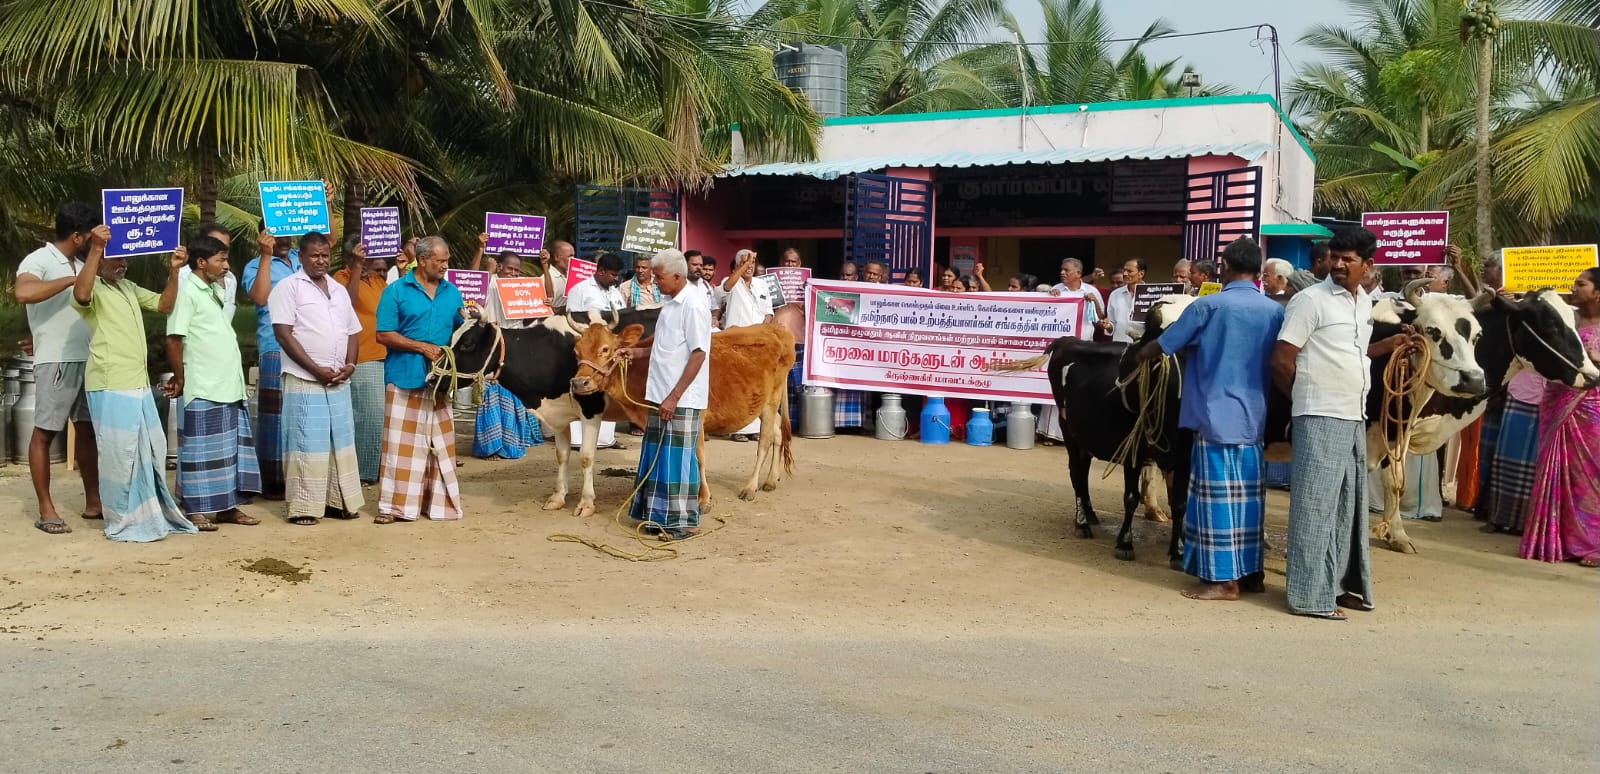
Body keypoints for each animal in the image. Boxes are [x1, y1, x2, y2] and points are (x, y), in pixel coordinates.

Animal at [449, 308, 661, 519]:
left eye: (467, 344)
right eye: (452, 339)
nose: (439, 378)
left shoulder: (591, 410)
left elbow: (586, 457)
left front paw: (586, 502)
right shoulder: (559, 415)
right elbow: (562, 455)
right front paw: (558, 497)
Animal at [568, 322, 797, 505]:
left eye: (605, 349)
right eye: (577, 352)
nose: (579, 383)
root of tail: (776, 328)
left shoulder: (697, 417)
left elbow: (699, 456)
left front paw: (703, 498)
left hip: (771, 401)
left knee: (765, 441)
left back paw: (751, 487)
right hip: (762, 403)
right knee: (778, 433)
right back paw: (771, 479)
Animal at [993, 295, 1197, 565]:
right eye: (1156, 332)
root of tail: (1066, 340)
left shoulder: (1183, 458)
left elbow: (1180, 504)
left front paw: (1178, 552)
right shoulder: (1132, 451)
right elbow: (1131, 497)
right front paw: (1125, 543)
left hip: (1085, 435)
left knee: (1084, 470)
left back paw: (1089, 514)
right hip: (1069, 430)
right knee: (1076, 473)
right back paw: (1082, 523)